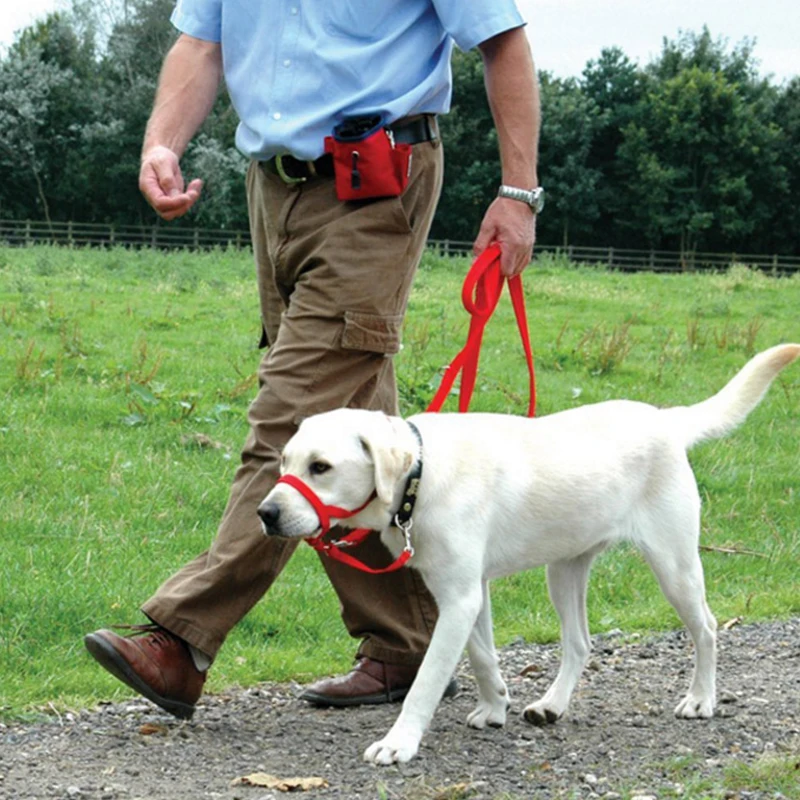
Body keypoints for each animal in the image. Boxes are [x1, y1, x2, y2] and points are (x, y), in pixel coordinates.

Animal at [260, 342, 796, 764]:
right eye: (284, 461)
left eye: (321, 467)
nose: (265, 513)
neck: (420, 476)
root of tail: (665, 420)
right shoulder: (466, 593)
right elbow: (481, 656)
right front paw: (495, 705)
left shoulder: (460, 598)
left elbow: (427, 680)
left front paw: (400, 743)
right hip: (564, 571)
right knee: (579, 643)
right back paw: (552, 705)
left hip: (675, 566)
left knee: (706, 628)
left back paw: (701, 699)